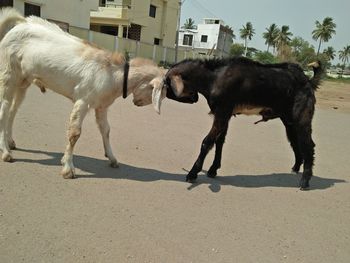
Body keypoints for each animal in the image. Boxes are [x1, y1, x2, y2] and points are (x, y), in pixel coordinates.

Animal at [0, 7, 167, 178]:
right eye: (161, 93)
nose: (137, 103)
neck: (114, 73)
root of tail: (20, 24)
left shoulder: (102, 106)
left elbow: (106, 130)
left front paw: (112, 158)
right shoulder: (83, 101)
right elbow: (74, 133)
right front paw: (68, 168)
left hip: (23, 82)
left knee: (13, 111)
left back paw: (10, 142)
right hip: (8, 74)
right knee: (4, 111)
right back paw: (6, 152)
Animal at [165, 57, 322, 190]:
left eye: (166, 83)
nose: (194, 99)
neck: (214, 78)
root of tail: (308, 81)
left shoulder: (222, 112)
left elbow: (207, 142)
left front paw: (192, 174)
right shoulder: (225, 114)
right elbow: (219, 141)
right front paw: (213, 170)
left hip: (302, 116)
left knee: (308, 144)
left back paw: (305, 181)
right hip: (288, 120)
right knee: (295, 141)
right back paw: (296, 167)